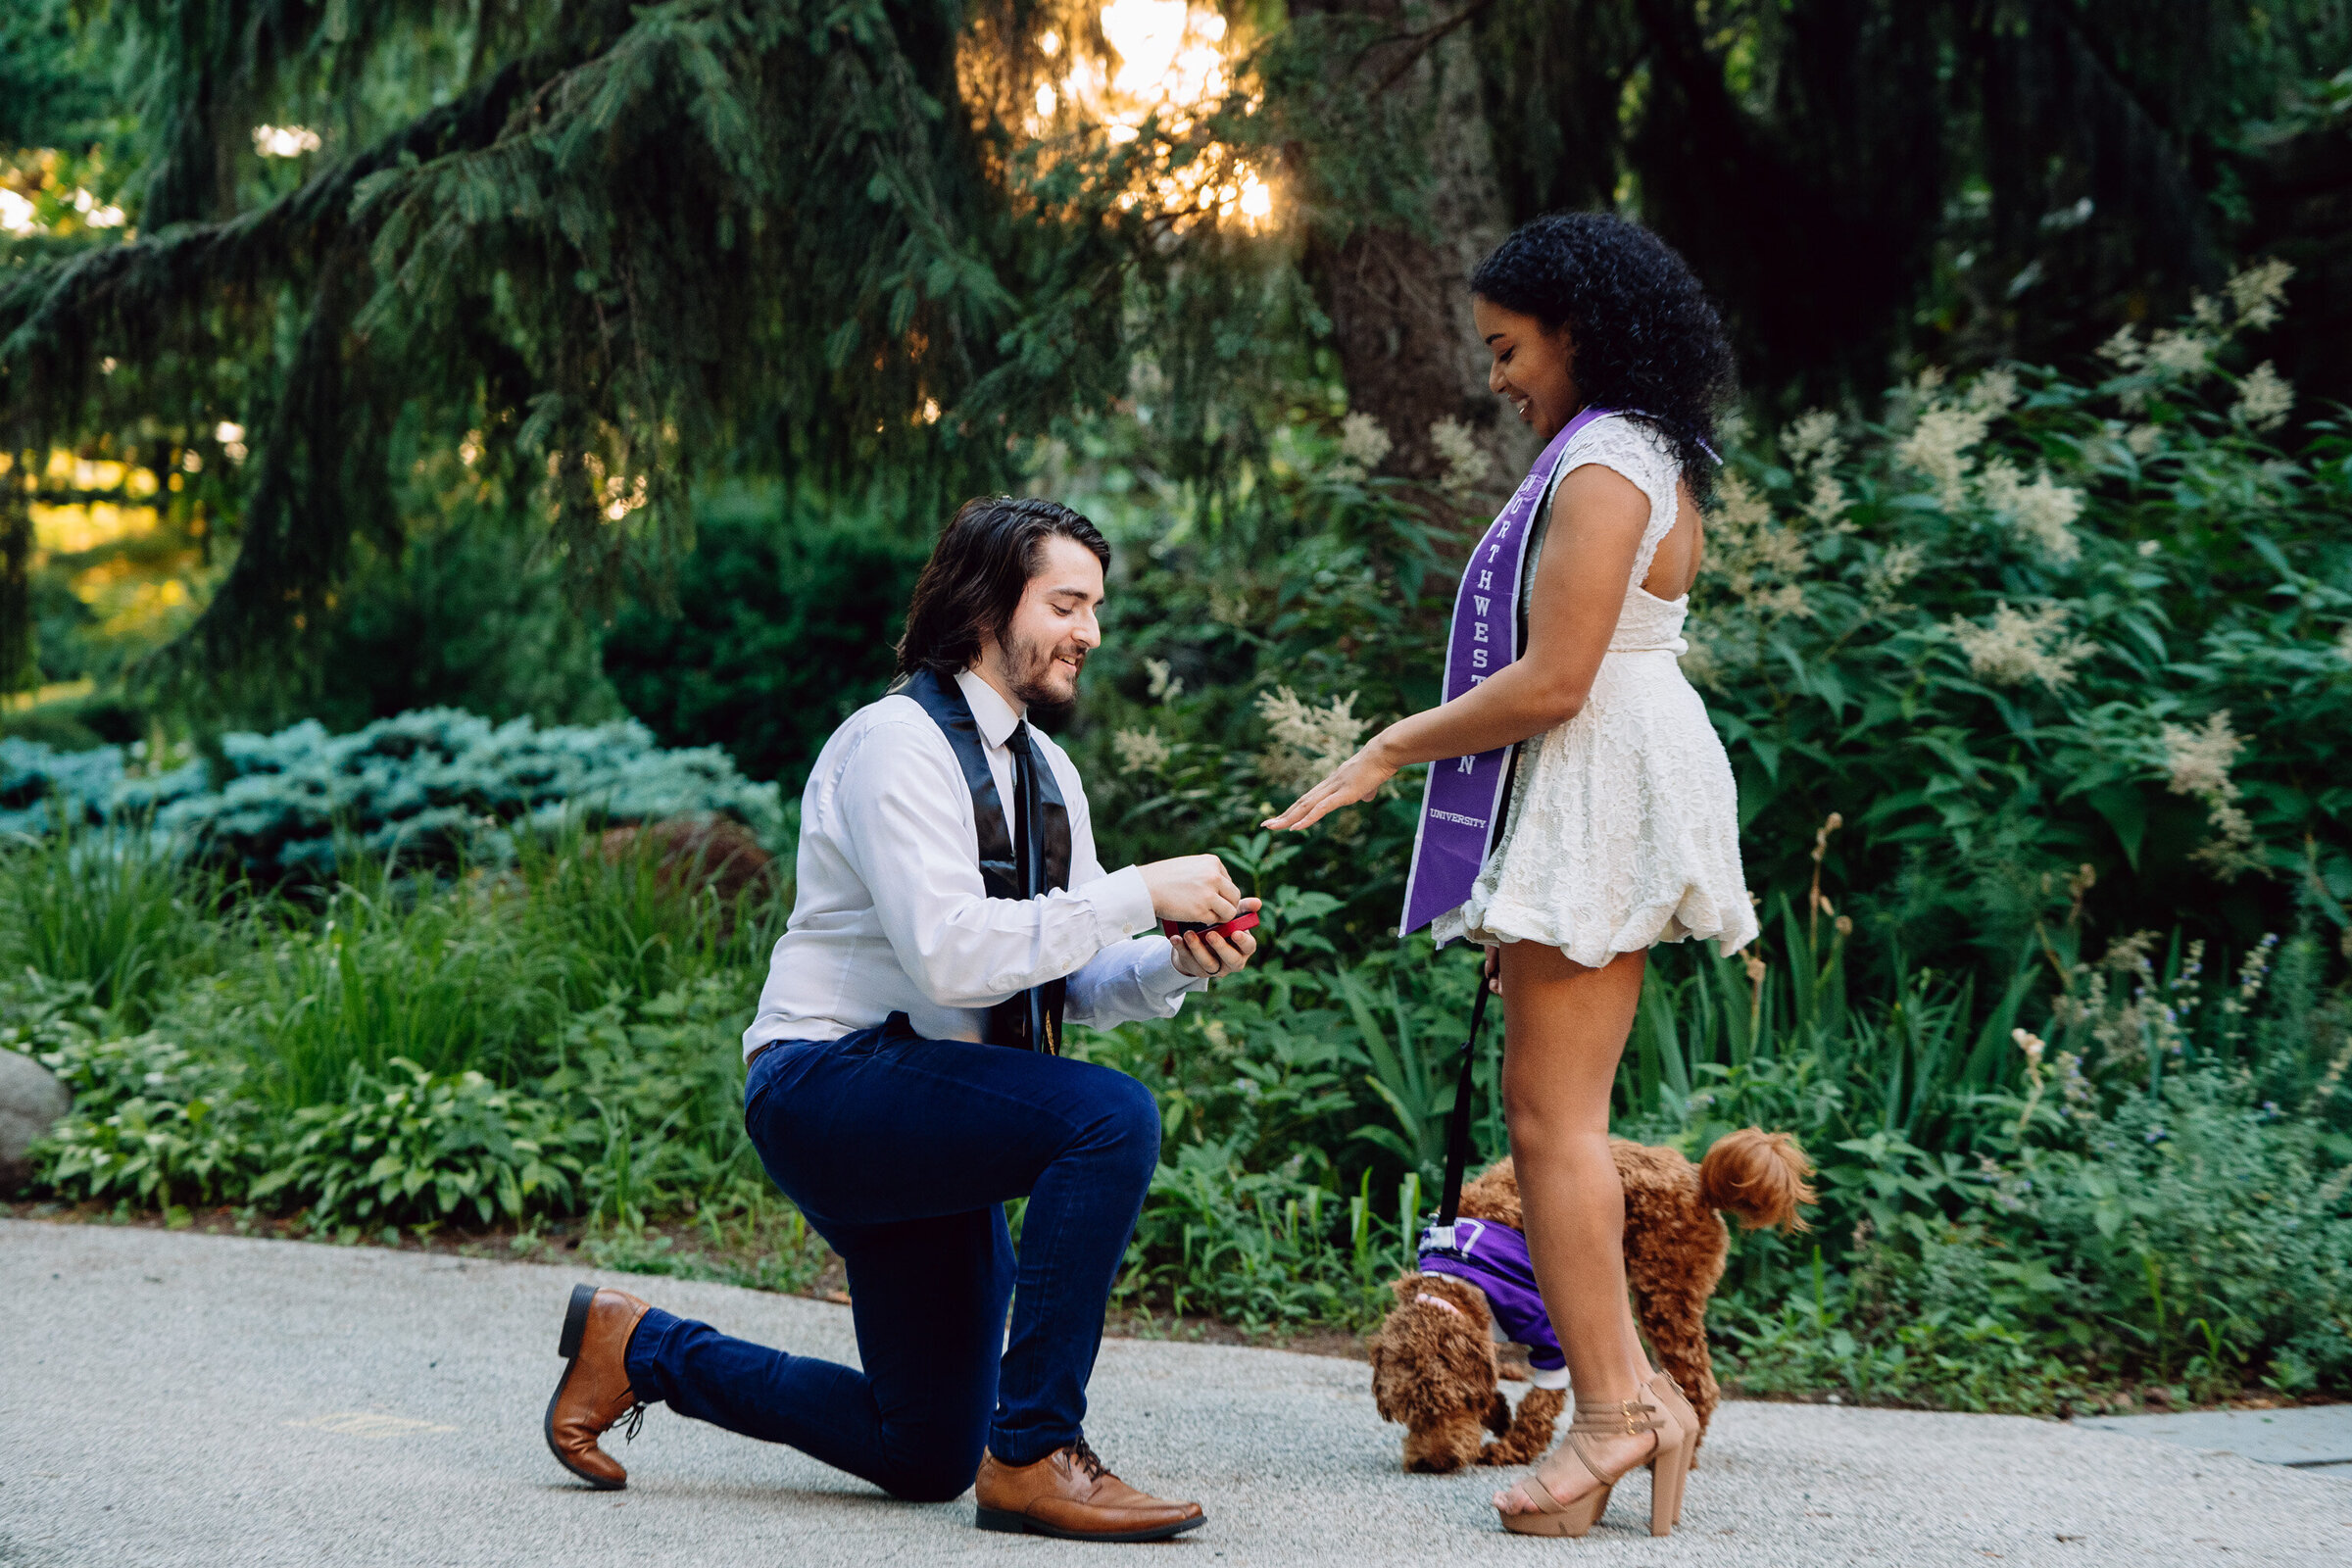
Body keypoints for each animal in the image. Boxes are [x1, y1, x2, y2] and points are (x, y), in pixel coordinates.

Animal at [1364, 1128, 1815, 1476]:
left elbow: (1539, 1403)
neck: (1456, 1277)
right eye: (1408, 1413)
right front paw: (1497, 1413)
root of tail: (1697, 1179)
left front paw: (1512, 1447)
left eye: (1448, 1406)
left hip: (1665, 1295)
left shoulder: (1545, 1332)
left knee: (1700, 1384)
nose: (1431, 1464)